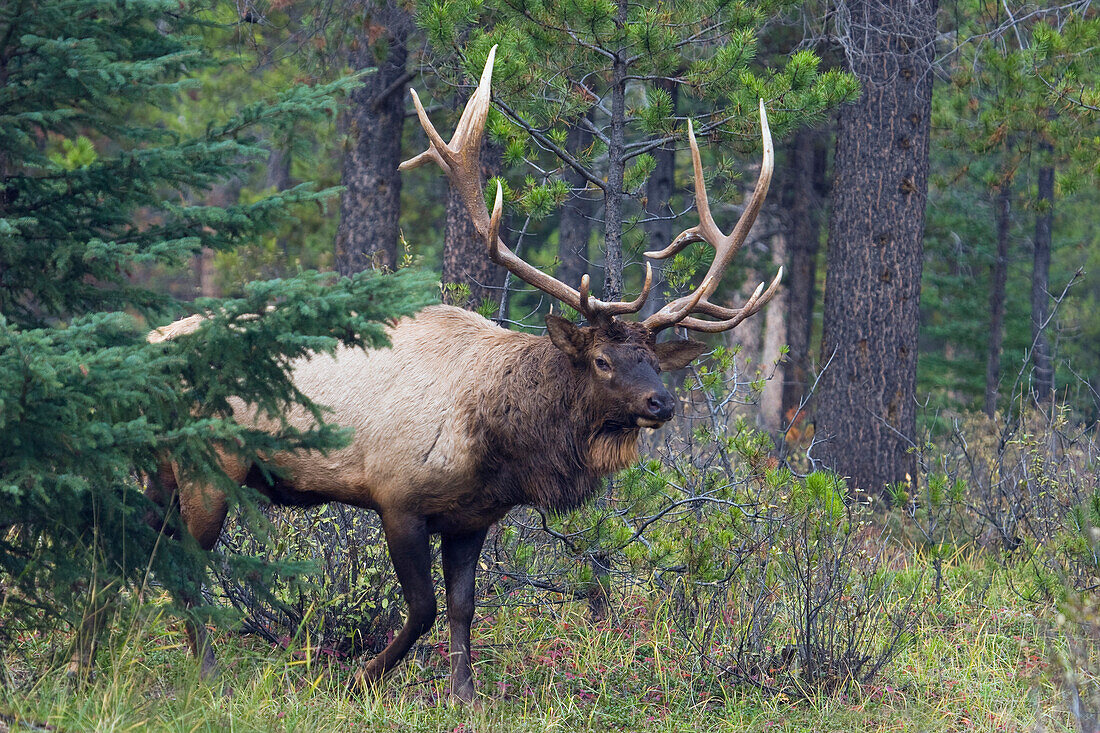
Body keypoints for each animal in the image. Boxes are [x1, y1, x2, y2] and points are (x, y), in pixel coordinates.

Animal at [144, 48, 783, 699]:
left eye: (655, 363)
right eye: (603, 361)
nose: (662, 404)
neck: (496, 448)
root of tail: (151, 342)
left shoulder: (472, 518)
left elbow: (462, 608)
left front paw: (465, 696)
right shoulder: (395, 495)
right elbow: (423, 608)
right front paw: (361, 676)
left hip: (165, 467)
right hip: (210, 464)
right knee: (185, 562)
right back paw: (206, 672)